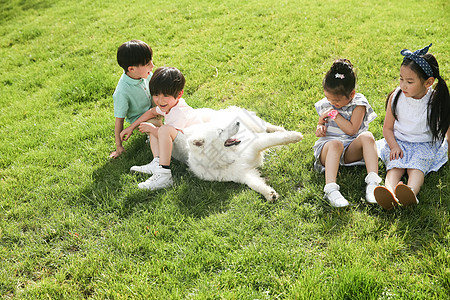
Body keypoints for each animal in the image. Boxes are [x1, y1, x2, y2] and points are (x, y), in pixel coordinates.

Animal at [172, 106, 302, 202]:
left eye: (221, 127)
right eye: (220, 131)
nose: (237, 122)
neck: (229, 156)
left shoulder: (256, 143)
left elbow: (276, 139)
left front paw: (295, 136)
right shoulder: (244, 174)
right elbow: (255, 184)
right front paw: (269, 194)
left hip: (254, 123)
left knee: (267, 126)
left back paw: (280, 129)